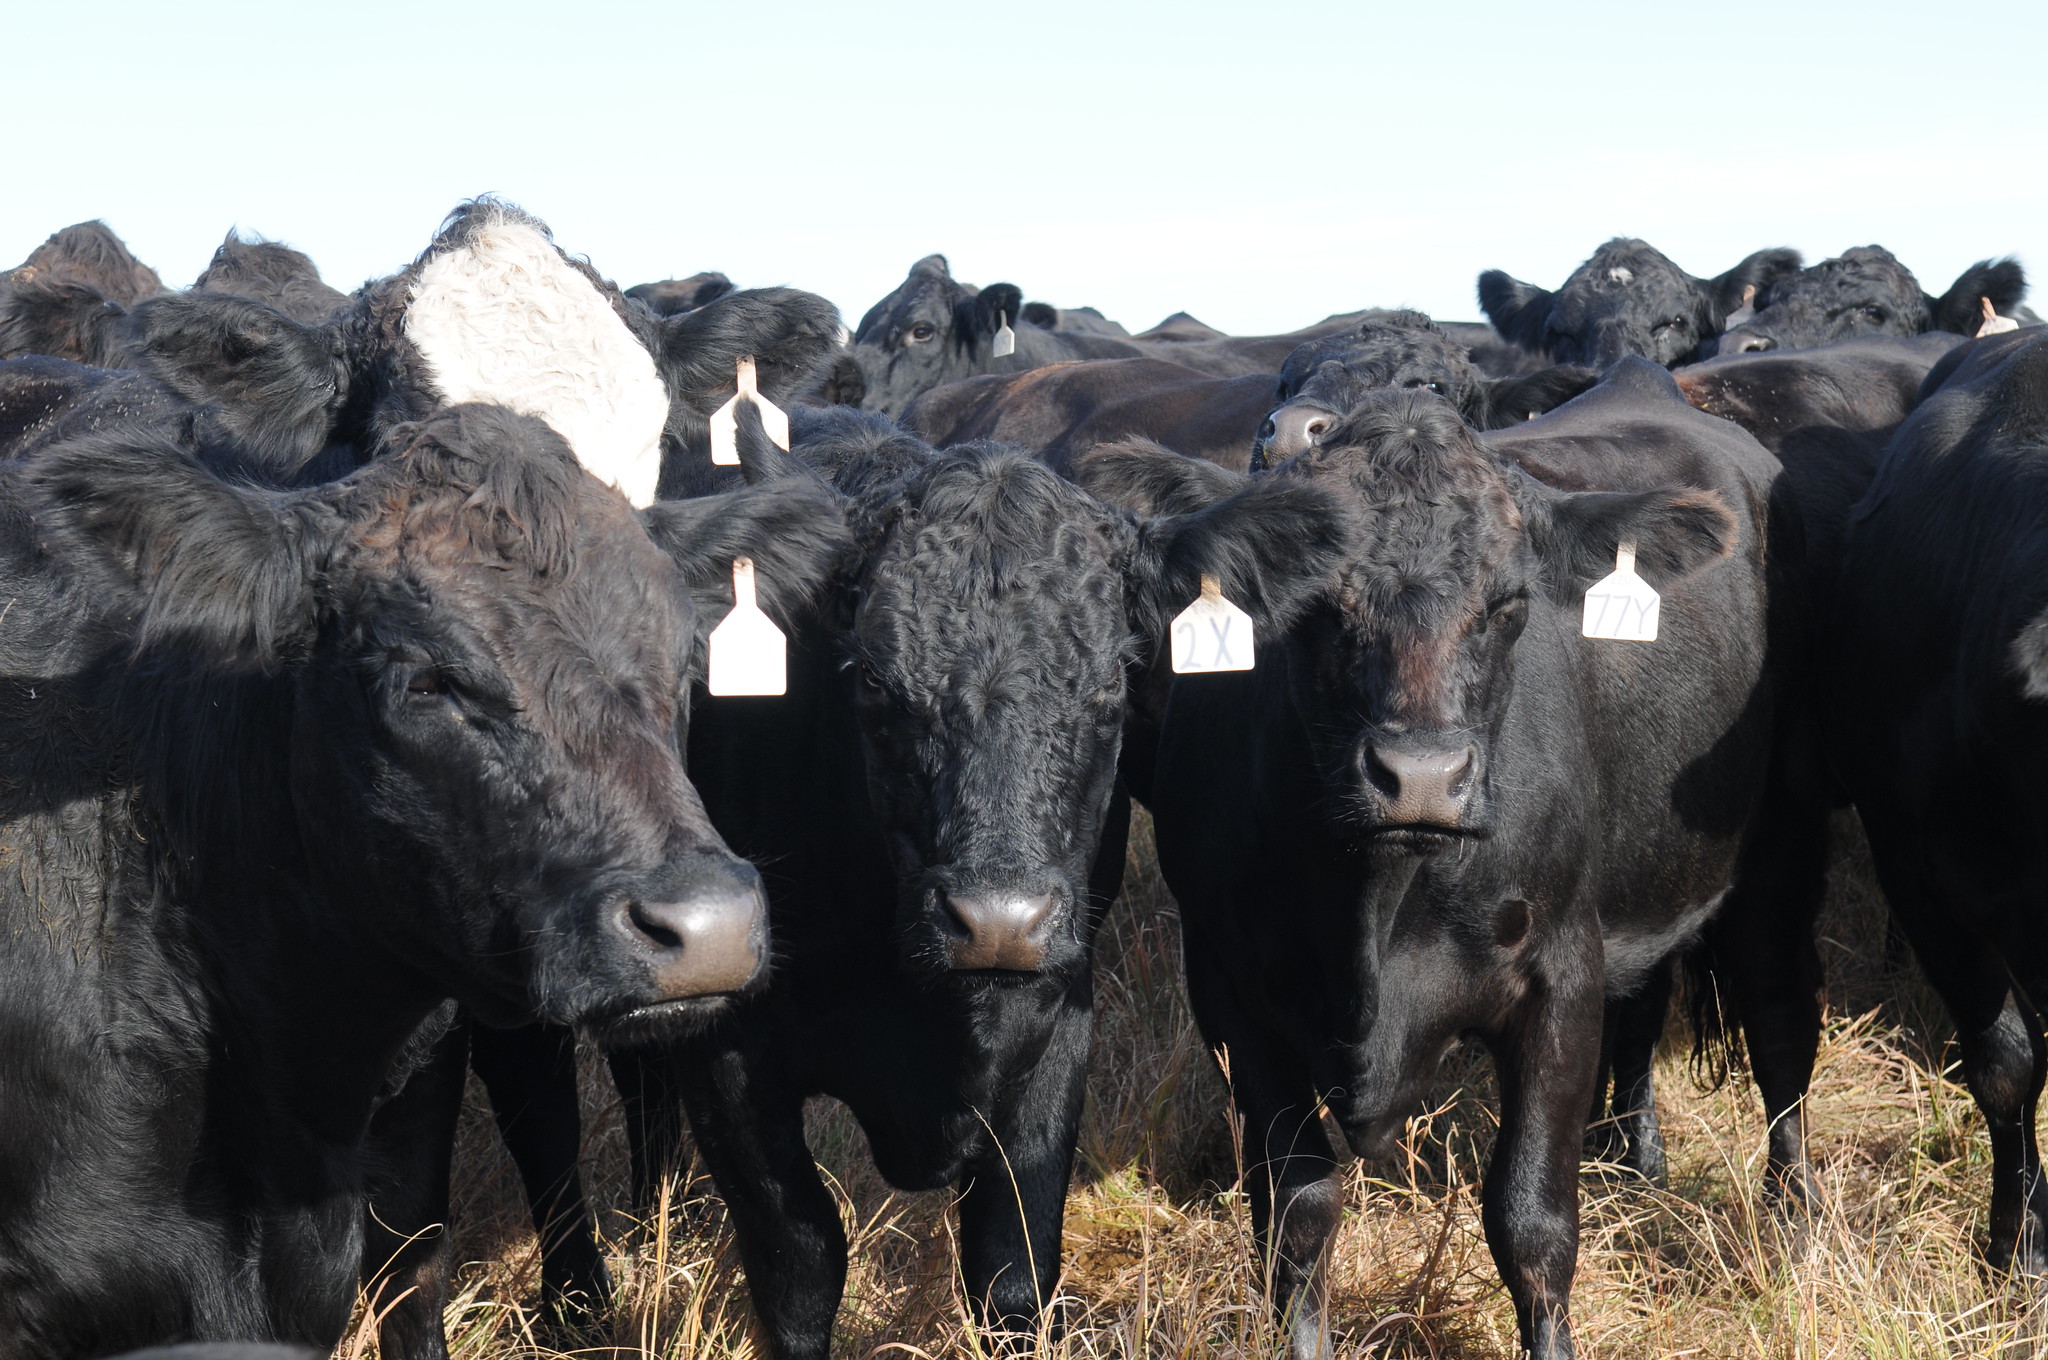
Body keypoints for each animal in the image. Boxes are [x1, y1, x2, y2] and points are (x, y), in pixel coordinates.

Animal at [597, 400, 1347, 1360]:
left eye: (1114, 683)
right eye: (873, 681)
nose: (998, 918)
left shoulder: (1058, 1021)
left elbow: (1012, 1267)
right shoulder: (732, 1052)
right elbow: (799, 1263)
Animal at [1077, 361, 1778, 1359]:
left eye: (1511, 604)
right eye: (1311, 607)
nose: (1420, 778)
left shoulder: (1560, 973)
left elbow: (1532, 1222)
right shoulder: (1228, 991)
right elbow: (1296, 1216)